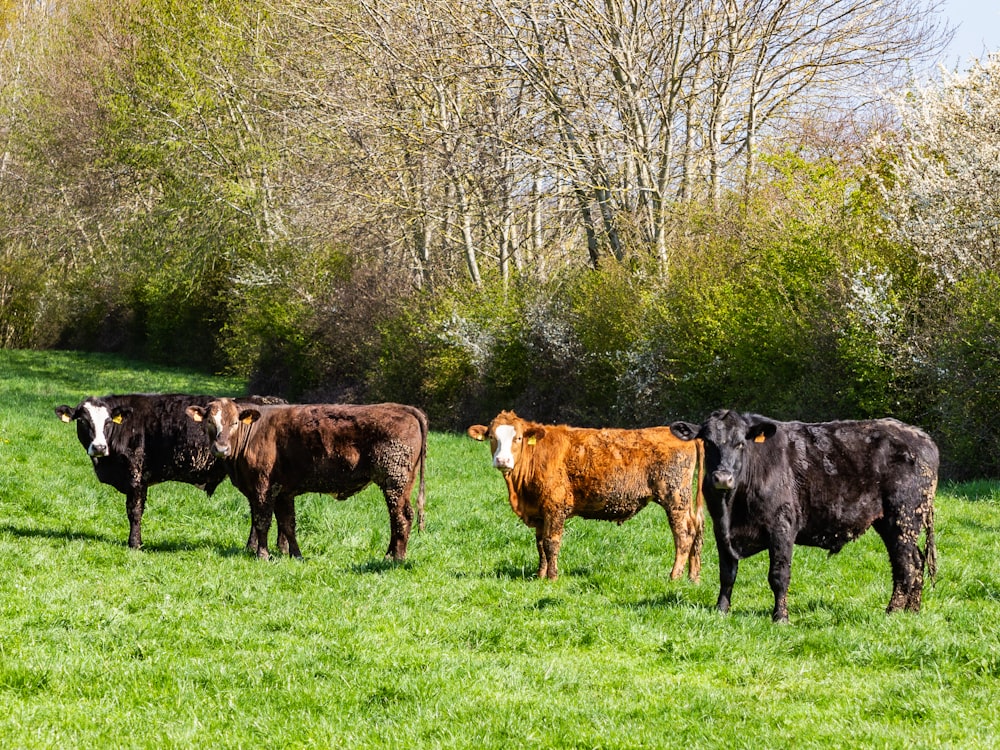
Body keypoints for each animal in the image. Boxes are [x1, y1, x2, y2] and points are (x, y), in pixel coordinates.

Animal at [55, 394, 282, 552]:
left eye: (108, 421)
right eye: (83, 421)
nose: (99, 447)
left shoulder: (136, 476)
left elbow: (134, 512)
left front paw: (135, 544)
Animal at [188, 402, 426, 560]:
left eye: (235, 422)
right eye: (210, 422)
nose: (221, 449)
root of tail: (403, 408)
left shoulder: (262, 488)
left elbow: (262, 521)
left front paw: (262, 554)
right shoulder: (282, 491)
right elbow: (287, 524)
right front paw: (296, 555)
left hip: (395, 481)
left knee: (402, 517)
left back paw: (396, 558)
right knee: (396, 518)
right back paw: (389, 555)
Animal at [466, 412, 704, 580]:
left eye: (518, 438)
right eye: (491, 437)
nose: (502, 461)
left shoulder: (555, 508)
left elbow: (551, 543)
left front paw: (552, 577)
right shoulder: (540, 512)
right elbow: (540, 544)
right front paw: (540, 575)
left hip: (675, 498)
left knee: (683, 534)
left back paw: (674, 576)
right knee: (697, 528)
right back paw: (693, 577)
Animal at [672, 412, 936, 624]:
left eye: (740, 443)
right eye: (708, 442)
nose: (722, 478)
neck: (732, 506)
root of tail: (921, 435)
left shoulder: (781, 527)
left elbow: (779, 576)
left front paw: (780, 617)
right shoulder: (721, 529)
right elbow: (727, 573)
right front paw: (721, 610)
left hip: (903, 517)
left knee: (906, 565)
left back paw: (892, 612)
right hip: (894, 523)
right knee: (916, 562)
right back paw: (912, 611)